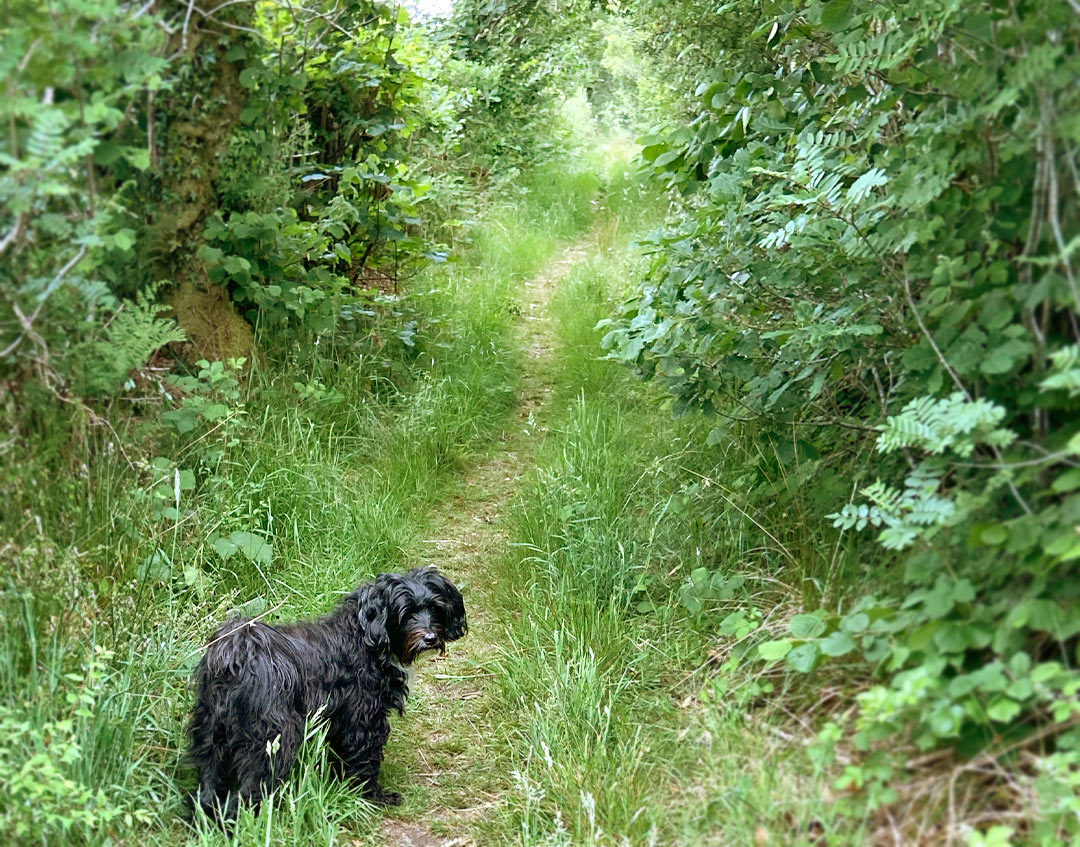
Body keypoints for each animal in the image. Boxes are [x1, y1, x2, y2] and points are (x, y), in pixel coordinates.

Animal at [187, 570, 466, 821]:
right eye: (405, 613)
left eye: (435, 608)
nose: (430, 637)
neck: (366, 637)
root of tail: (236, 654)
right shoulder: (363, 723)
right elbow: (365, 763)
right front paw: (373, 798)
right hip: (272, 740)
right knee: (248, 790)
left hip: (212, 736)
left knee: (209, 788)